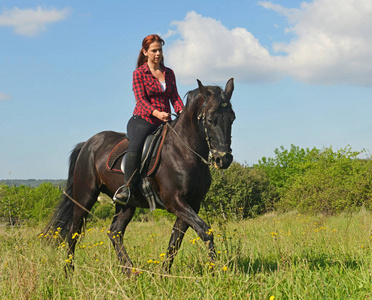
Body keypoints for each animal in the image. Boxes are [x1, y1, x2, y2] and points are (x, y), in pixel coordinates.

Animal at [43, 78, 235, 276]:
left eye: (232, 118)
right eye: (210, 120)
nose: (224, 159)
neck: (185, 151)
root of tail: (88, 144)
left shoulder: (192, 204)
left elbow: (176, 240)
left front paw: (164, 274)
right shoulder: (175, 202)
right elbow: (205, 231)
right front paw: (216, 271)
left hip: (126, 203)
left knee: (115, 232)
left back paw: (130, 271)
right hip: (85, 197)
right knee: (74, 231)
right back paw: (68, 271)